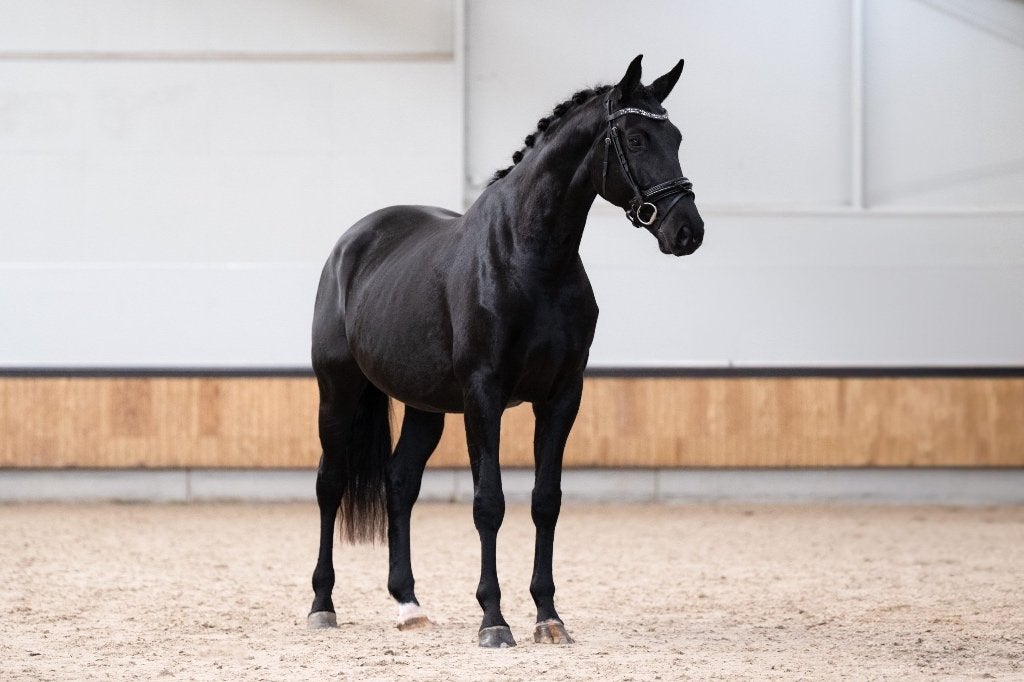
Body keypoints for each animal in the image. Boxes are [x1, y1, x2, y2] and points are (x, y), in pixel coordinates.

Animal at [307, 54, 704, 648]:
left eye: (675, 137)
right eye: (635, 138)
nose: (687, 230)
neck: (529, 257)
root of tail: (350, 245)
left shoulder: (561, 398)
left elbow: (546, 502)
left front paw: (548, 616)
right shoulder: (484, 396)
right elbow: (488, 504)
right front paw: (494, 620)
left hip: (425, 406)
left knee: (399, 482)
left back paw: (409, 605)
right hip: (338, 393)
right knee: (329, 485)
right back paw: (322, 604)